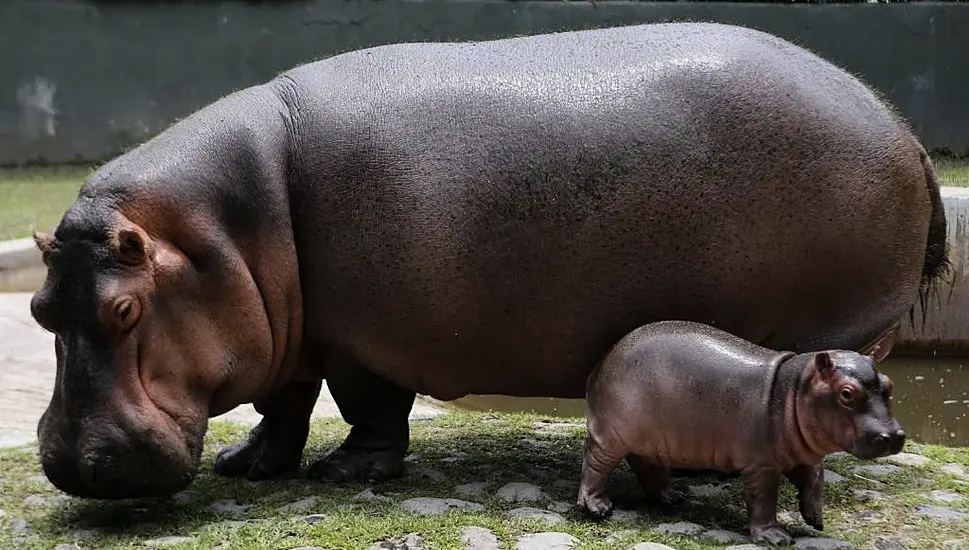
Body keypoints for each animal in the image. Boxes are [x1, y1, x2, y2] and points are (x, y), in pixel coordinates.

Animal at [28, 22, 944, 500]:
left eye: (124, 309)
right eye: (40, 311)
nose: (73, 467)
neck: (219, 229)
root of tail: (903, 130)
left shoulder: (359, 338)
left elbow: (366, 406)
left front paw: (346, 471)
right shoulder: (288, 330)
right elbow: (282, 402)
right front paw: (248, 465)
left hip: (834, 326)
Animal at [576, 322, 900, 544]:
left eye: (889, 384)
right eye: (846, 393)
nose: (894, 436)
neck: (794, 389)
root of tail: (601, 363)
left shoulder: (807, 457)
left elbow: (814, 482)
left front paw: (816, 520)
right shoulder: (762, 465)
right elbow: (764, 499)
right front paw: (776, 538)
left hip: (652, 438)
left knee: (645, 464)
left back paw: (672, 497)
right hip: (612, 435)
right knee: (596, 463)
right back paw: (598, 507)